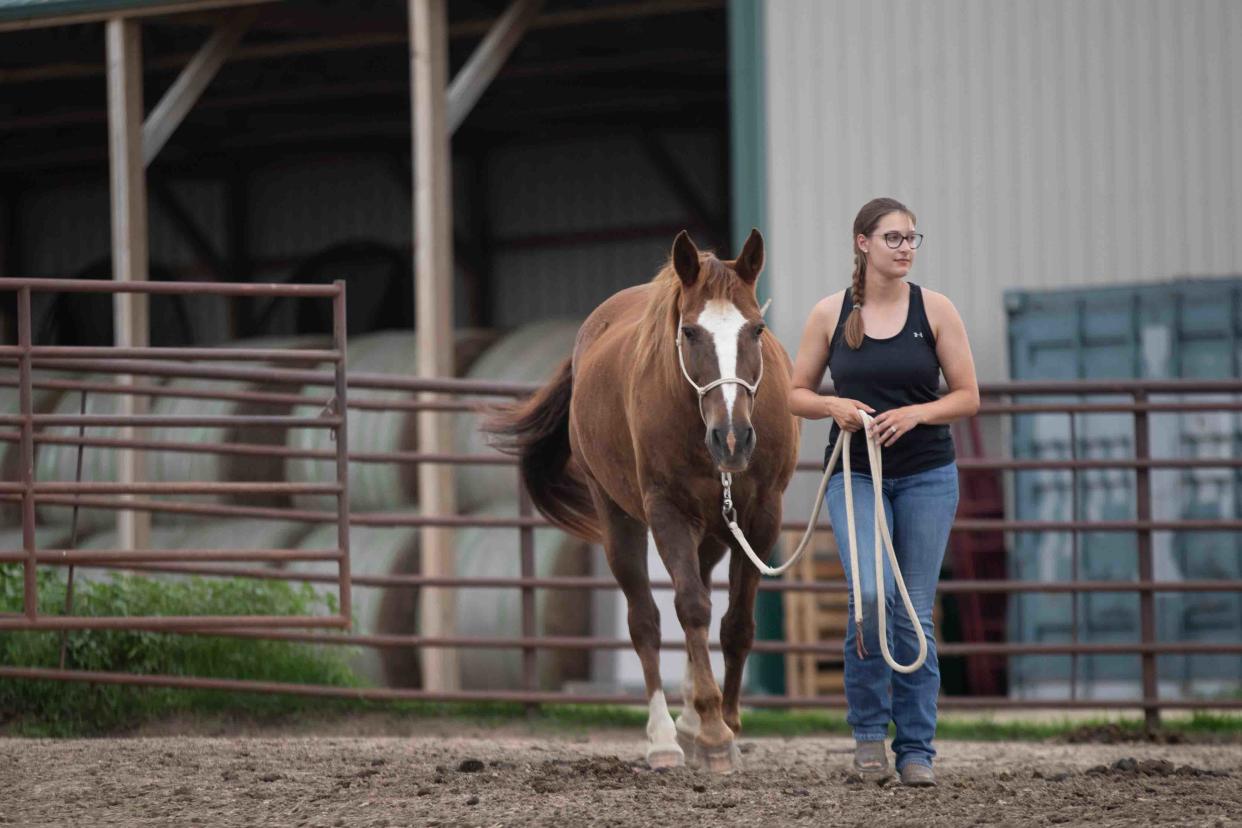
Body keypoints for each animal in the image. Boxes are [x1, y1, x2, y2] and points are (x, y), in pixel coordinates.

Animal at [489, 229, 799, 774]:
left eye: (757, 329)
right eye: (690, 332)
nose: (733, 439)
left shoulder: (762, 517)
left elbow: (738, 625)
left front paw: (725, 722)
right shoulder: (668, 512)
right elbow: (690, 609)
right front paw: (715, 733)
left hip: (712, 533)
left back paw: (691, 720)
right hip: (620, 521)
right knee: (646, 621)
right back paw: (666, 738)